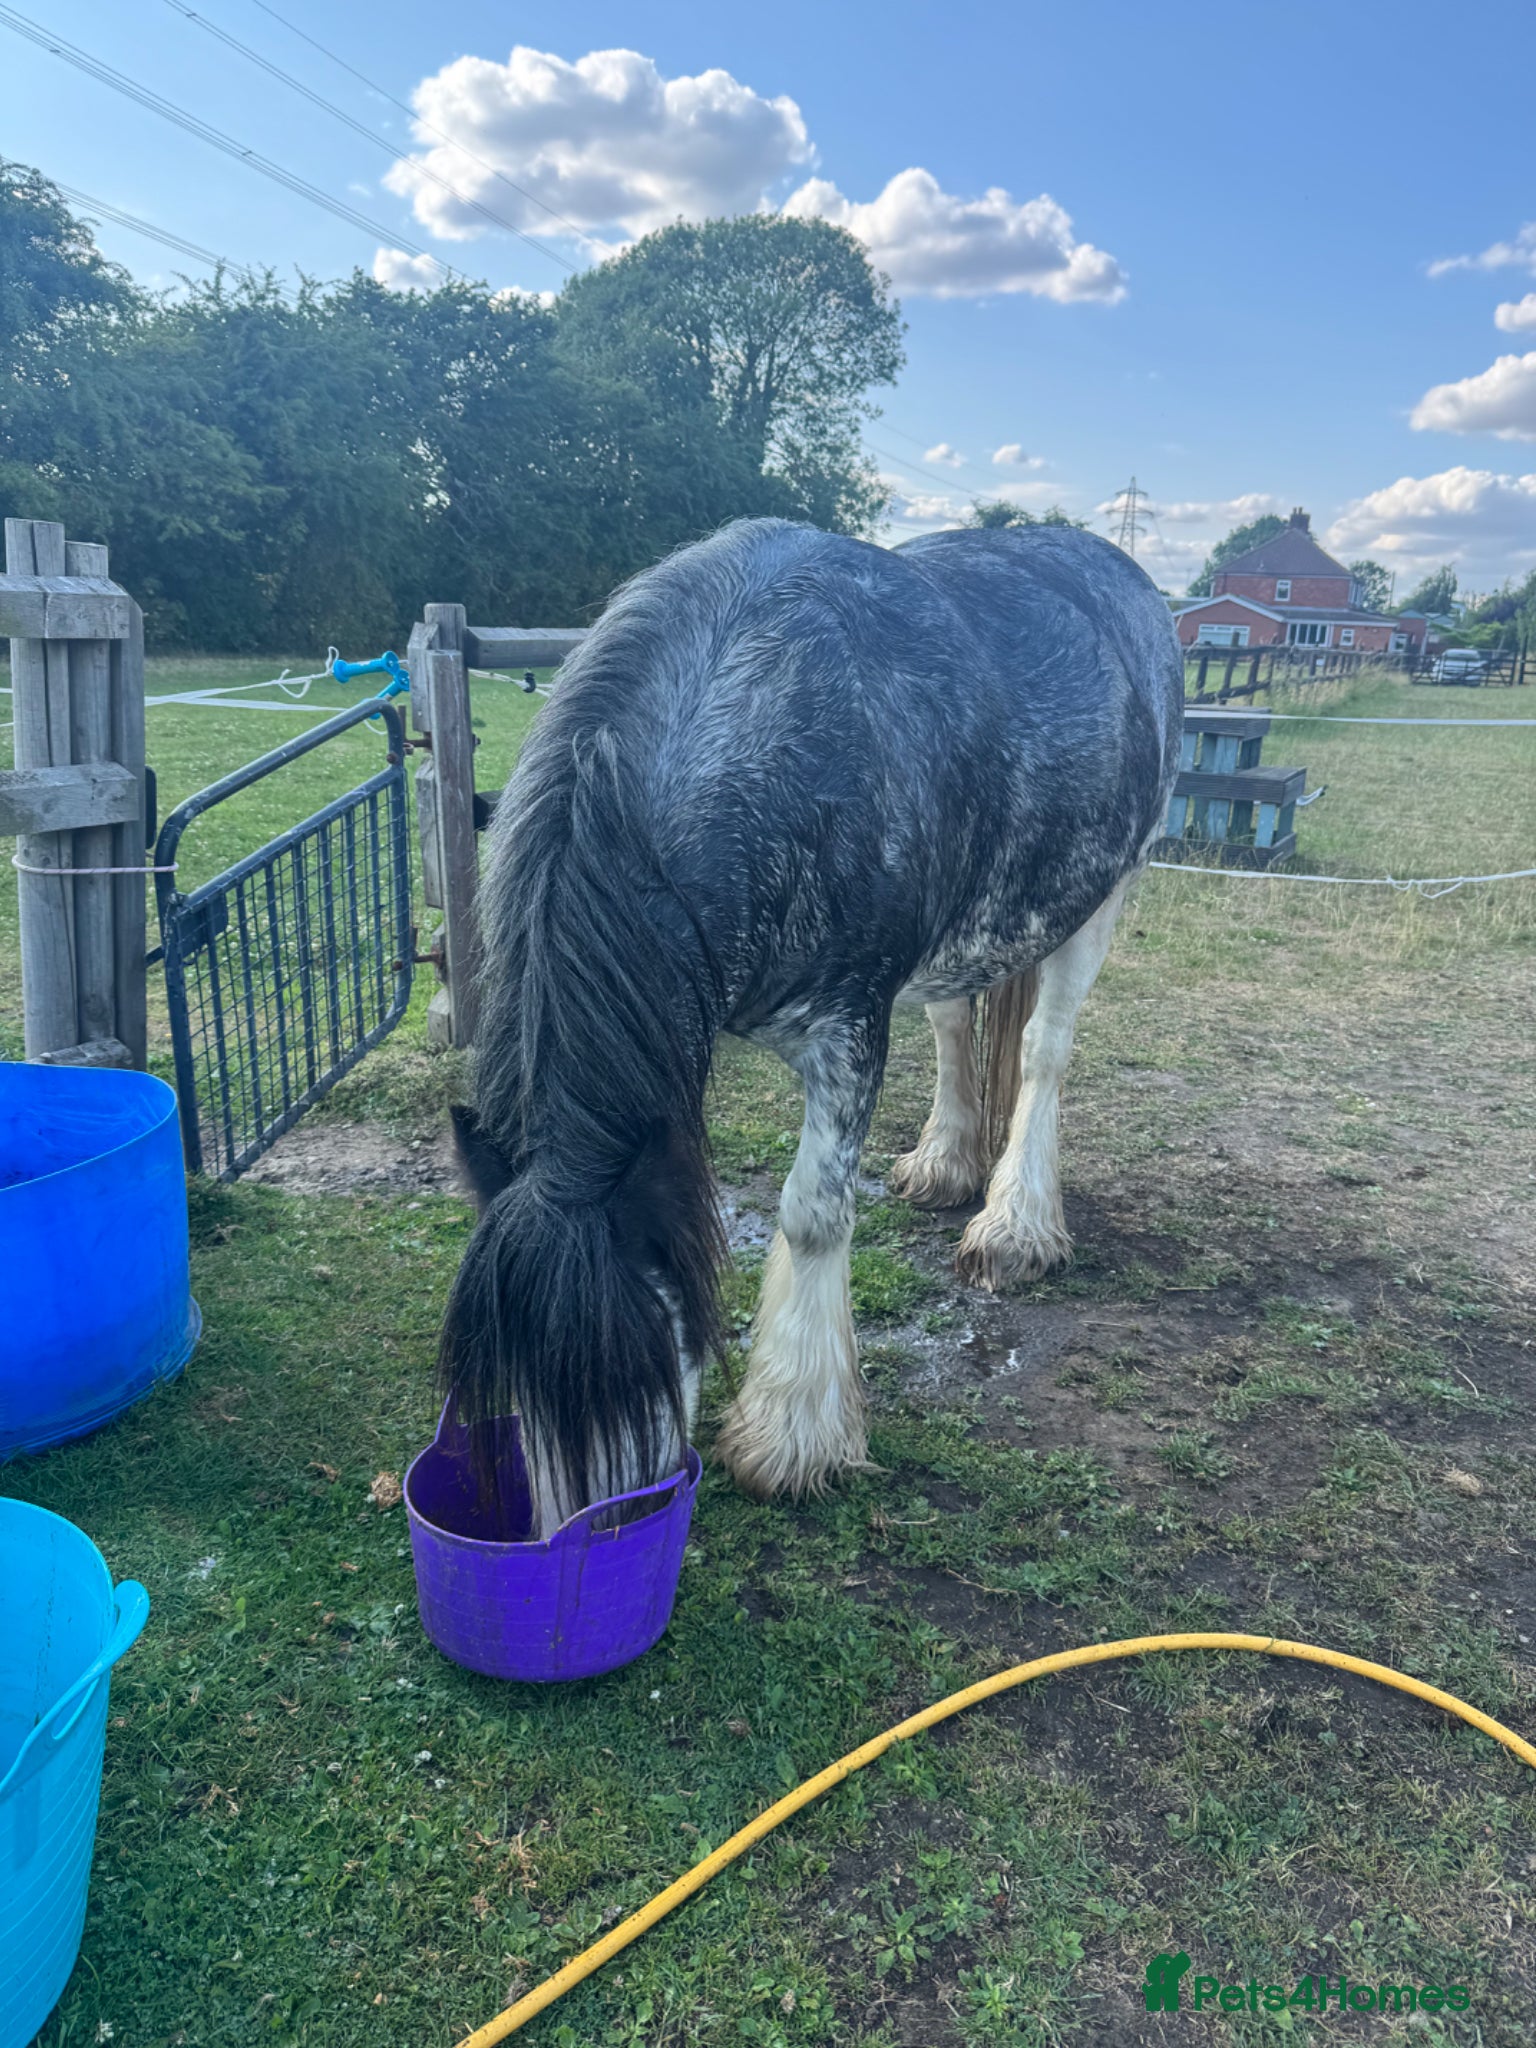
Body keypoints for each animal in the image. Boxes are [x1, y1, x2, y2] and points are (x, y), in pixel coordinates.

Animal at [443, 516, 1182, 1534]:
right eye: (518, 1391)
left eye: (638, 1367)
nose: (609, 1535)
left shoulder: (848, 1035)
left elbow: (813, 1214)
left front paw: (790, 1435)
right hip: (963, 938)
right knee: (953, 1029)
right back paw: (946, 1163)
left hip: (1103, 897)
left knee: (1043, 1054)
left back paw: (1014, 1228)